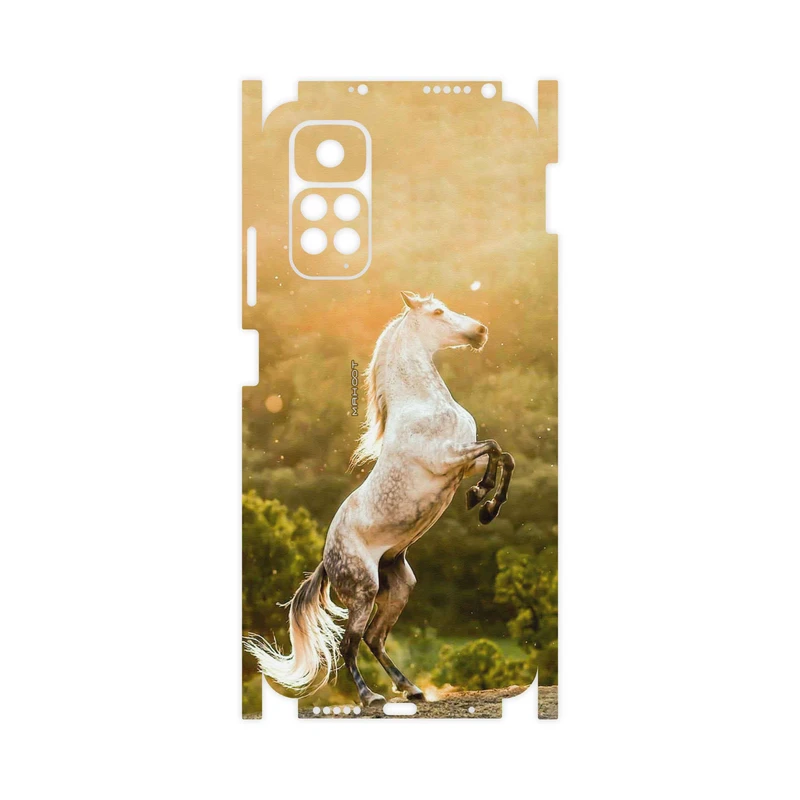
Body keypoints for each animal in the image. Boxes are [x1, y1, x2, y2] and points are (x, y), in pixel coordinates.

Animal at [244, 291, 515, 706]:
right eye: (438, 311)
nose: (481, 331)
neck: (424, 404)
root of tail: (326, 560)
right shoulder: (447, 459)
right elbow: (495, 446)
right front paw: (480, 499)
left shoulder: (464, 460)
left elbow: (504, 456)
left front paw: (485, 506)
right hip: (363, 590)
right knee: (350, 643)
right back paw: (370, 696)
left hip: (399, 585)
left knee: (374, 638)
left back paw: (412, 689)